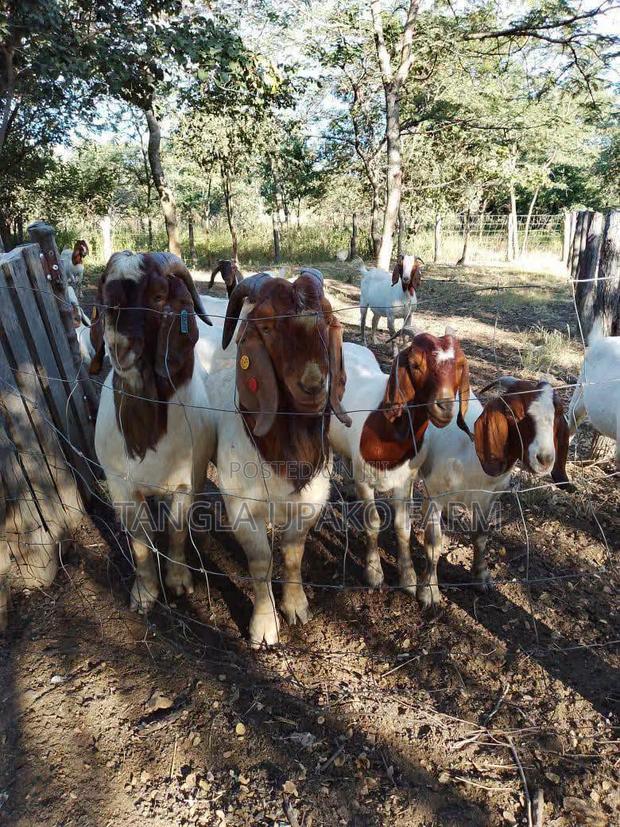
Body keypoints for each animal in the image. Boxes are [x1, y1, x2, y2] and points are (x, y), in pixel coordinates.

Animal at [94, 251, 214, 612]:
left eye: (159, 296)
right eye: (105, 295)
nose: (119, 347)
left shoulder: (187, 480)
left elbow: (176, 529)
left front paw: (178, 582)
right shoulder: (120, 486)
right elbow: (139, 538)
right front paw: (144, 592)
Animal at [206, 270, 350, 646]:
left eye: (326, 320)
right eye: (268, 327)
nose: (313, 385)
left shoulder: (311, 500)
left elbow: (293, 553)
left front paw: (296, 606)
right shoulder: (242, 507)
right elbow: (260, 562)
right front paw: (264, 627)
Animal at [329, 326, 472, 597]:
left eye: (460, 364)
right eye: (415, 364)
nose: (445, 406)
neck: (388, 430)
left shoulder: (405, 482)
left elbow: (402, 526)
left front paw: (408, 577)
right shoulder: (366, 480)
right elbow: (373, 522)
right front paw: (374, 572)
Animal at [418, 377, 571, 607]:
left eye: (557, 414)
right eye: (512, 413)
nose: (544, 459)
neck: (470, 456)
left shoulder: (487, 499)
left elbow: (481, 536)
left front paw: (481, 577)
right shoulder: (434, 495)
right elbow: (434, 542)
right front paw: (429, 592)